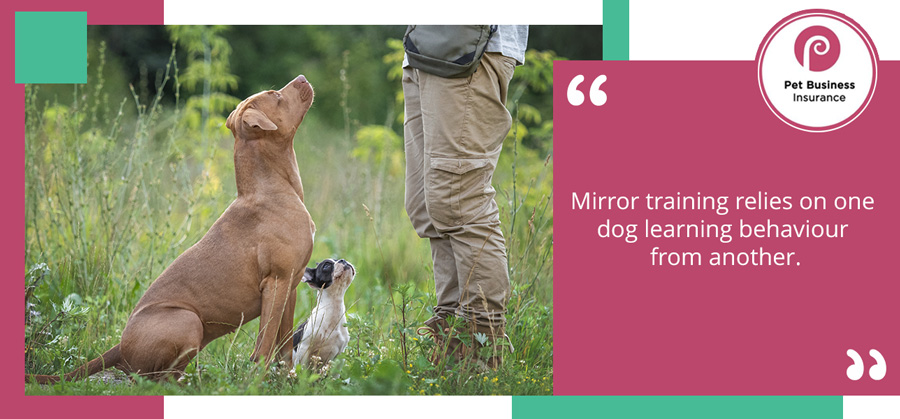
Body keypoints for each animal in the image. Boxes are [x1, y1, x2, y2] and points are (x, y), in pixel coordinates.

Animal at [27, 74, 316, 384]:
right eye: (276, 95)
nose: (302, 78)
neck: (272, 188)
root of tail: (119, 346)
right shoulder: (276, 283)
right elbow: (264, 343)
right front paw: (256, 382)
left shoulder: (289, 284)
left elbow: (284, 344)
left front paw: (288, 379)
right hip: (187, 320)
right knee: (152, 379)